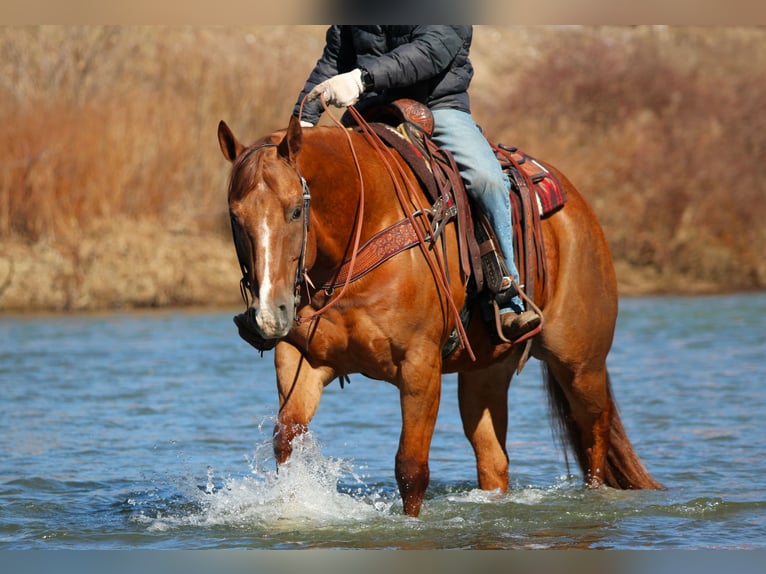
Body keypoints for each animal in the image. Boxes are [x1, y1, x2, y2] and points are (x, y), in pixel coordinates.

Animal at [217, 113, 663, 517]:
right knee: (494, 461)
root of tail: (579, 209)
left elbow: (411, 469)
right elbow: (286, 442)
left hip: (581, 366)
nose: (269, 314)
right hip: (486, 374)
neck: (360, 234)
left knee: (594, 444)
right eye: (236, 218)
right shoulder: (302, 359)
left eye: (296, 211)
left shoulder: (420, 366)